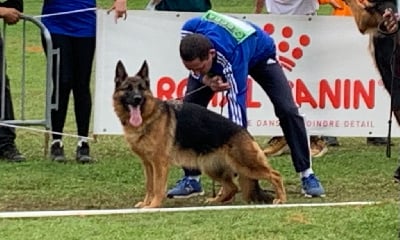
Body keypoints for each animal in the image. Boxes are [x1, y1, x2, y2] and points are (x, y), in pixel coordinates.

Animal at [113, 60, 288, 208]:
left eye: (141, 88)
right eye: (128, 88)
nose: (137, 99)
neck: (148, 116)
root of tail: (245, 131)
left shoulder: (159, 163)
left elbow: (157, 187)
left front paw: (153, 205)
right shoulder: (148, 164)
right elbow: (149, 186)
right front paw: (146, 203)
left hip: (246, 164)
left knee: (275, 175)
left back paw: (281, 199)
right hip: (211, 167)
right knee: (232, 187)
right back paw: (216, 200)